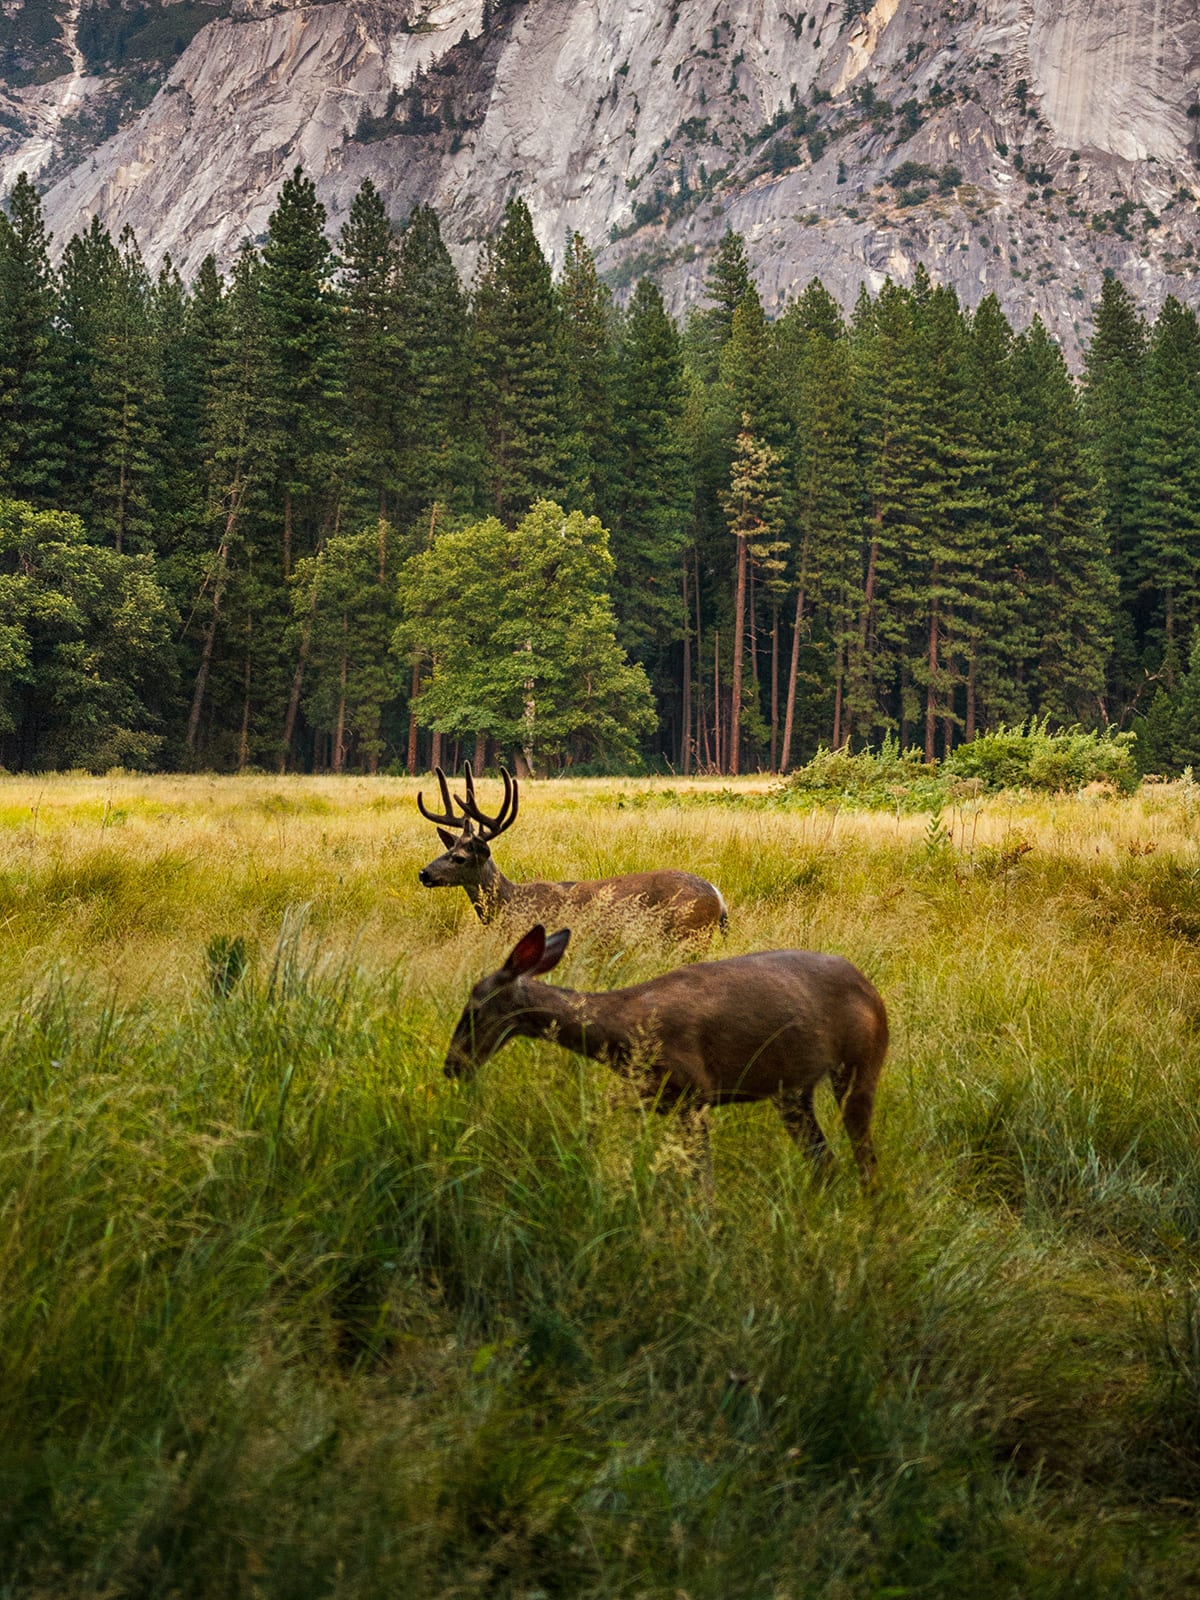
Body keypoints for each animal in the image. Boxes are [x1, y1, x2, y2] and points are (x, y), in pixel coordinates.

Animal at [416, 762, 727, 939]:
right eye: (447, 849)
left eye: (460, 858)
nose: (424, 873)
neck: (510, 903)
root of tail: (718, 896)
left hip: (691, 934)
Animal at [444, 923, 888, 1186]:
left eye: (472, 1011)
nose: (452, 1067)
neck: (623, 1031)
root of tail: (871, 990)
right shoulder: (650, 1094)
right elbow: (595, 1126)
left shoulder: (694, 1092)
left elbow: (701, 1179)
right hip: (792, 1092)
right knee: (825, 1161)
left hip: (860, 1065)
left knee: (865, 1160)